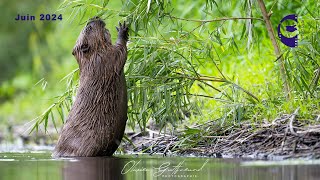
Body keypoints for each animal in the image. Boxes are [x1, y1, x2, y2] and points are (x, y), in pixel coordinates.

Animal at [52, 17, 128, 157]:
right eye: (89, 28)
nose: (95, 18)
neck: (90, 59)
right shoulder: (104, 59)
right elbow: (119, 53)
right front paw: (122, 29)